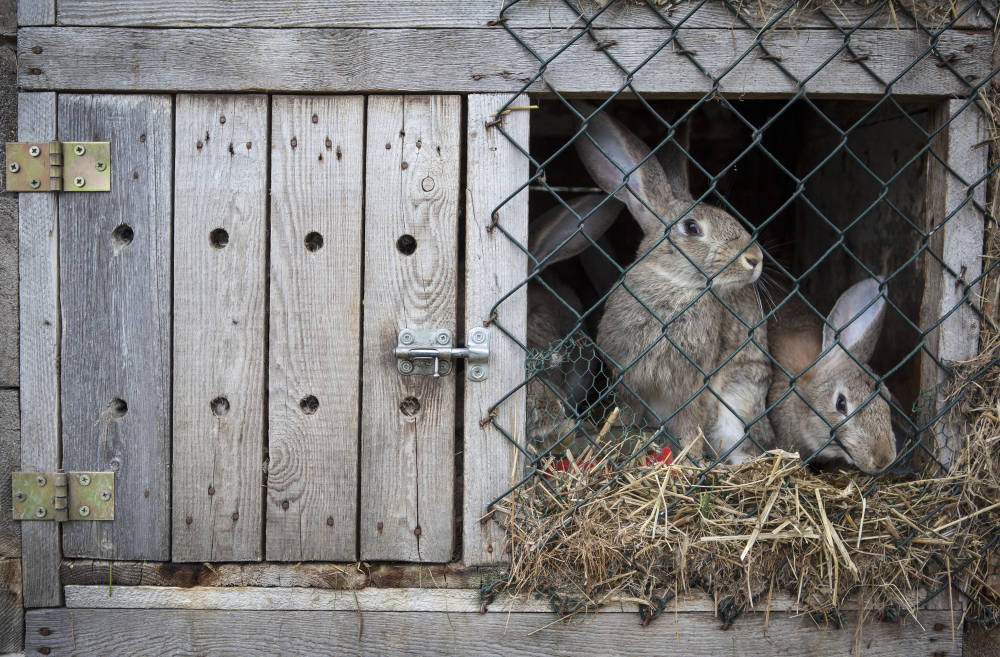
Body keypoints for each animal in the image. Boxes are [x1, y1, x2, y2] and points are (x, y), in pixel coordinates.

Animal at [572, 104, 772, 462]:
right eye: (691, 228)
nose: (754, 258)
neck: (674, 285)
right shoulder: (628, 379)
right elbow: (629, 412)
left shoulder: (695, 385)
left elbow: (691, 422)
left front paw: (688, 459)